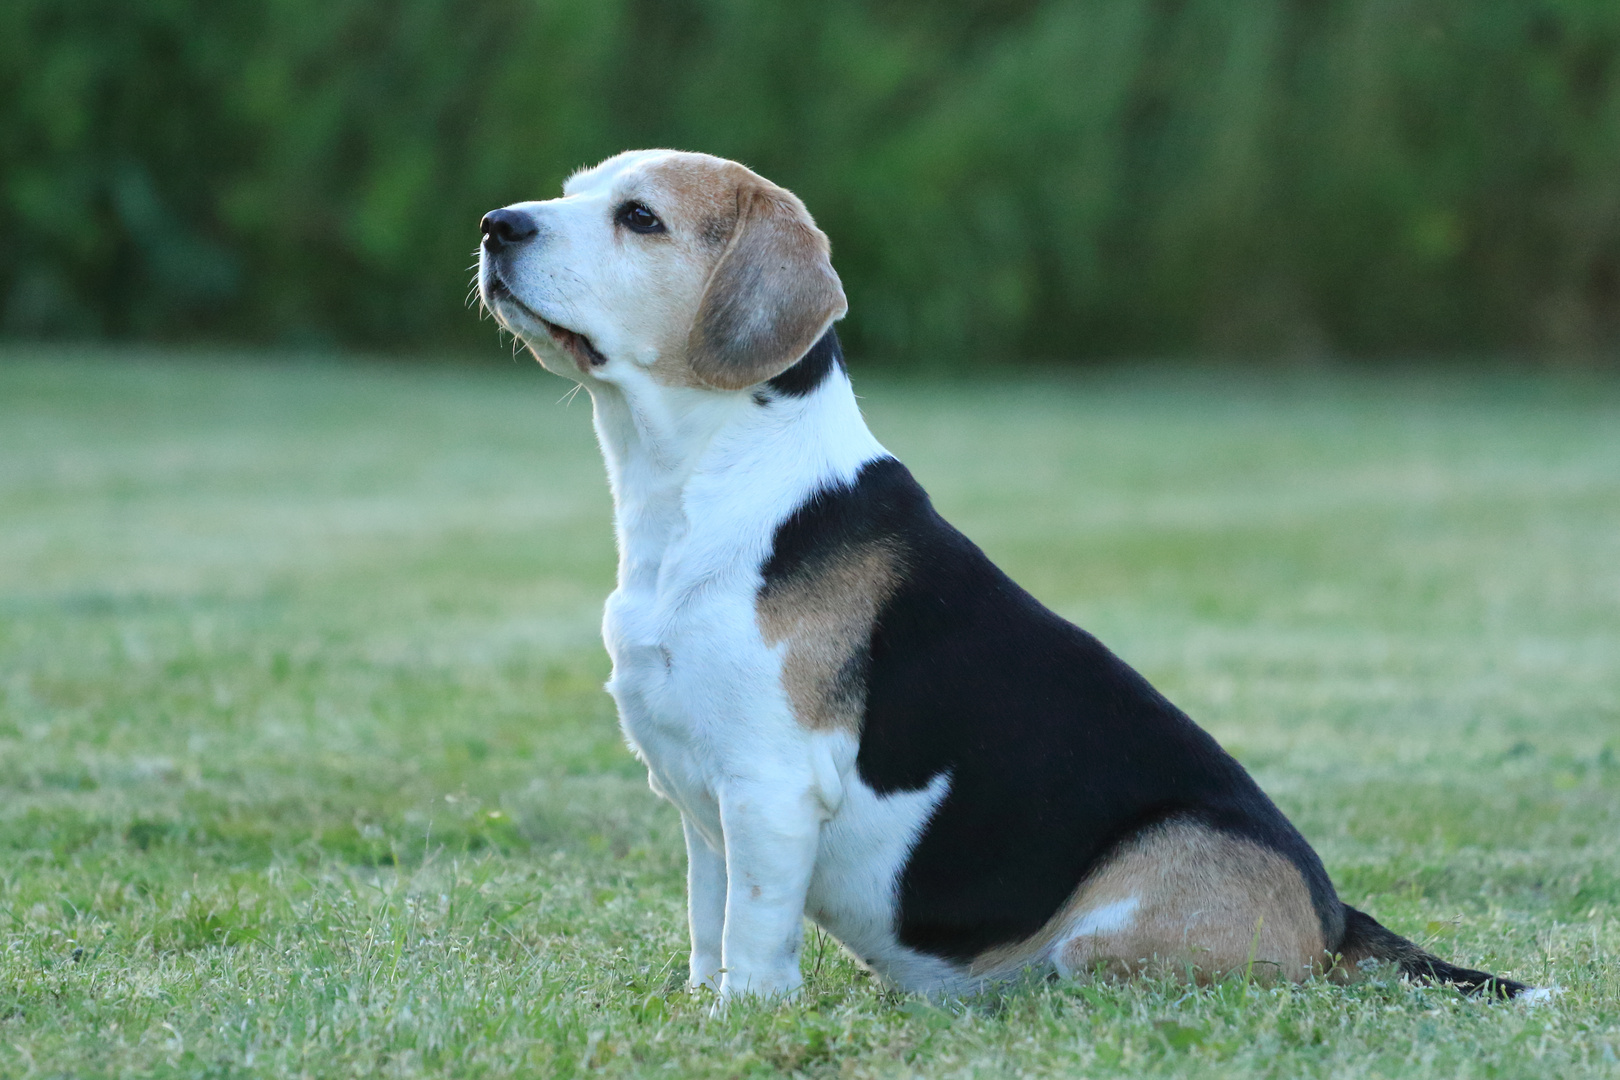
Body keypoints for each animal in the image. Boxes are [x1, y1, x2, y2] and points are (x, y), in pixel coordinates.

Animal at [473, 148, 1529, 1003]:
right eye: (573, 191)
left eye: (639, 217)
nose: (495, 224)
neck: (704, 486)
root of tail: (1336, 916)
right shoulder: (700, 802)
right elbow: (710, 922)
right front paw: (702, 1006)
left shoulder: (768, 787)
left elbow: (755, 935)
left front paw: (743, 1021)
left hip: (1107, 936)